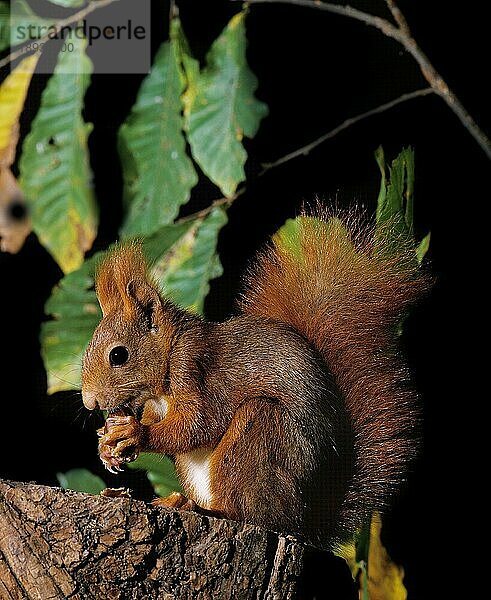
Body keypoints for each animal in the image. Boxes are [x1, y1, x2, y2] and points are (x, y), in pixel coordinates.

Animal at [81, 212, 430, 548]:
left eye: (118, 355)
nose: (90, 402)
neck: (171, 351)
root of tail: (309, 518)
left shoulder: (199, 371)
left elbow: (200, 424)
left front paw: (135, 433)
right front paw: (107, 443)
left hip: (261, 433)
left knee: (254, 514)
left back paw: (201, 508)